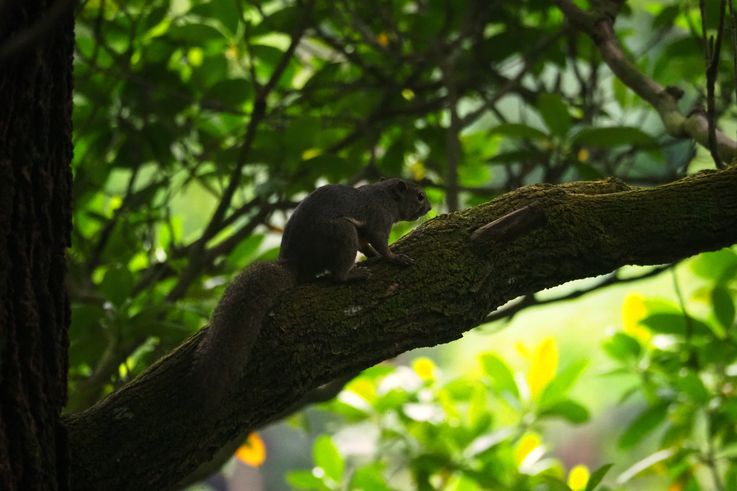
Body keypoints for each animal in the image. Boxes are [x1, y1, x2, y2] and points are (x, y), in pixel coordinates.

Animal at [193, 178, 431, 403]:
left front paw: (373, 256)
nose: (428, 207)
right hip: (342, 233)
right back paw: (353, 275)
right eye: (419, 196)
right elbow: (380, 242)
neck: (385, 196)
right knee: (338, 274)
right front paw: (394, 258)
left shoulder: (364, 233)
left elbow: (366, 246)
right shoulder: (378, 219)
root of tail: (295, 263)